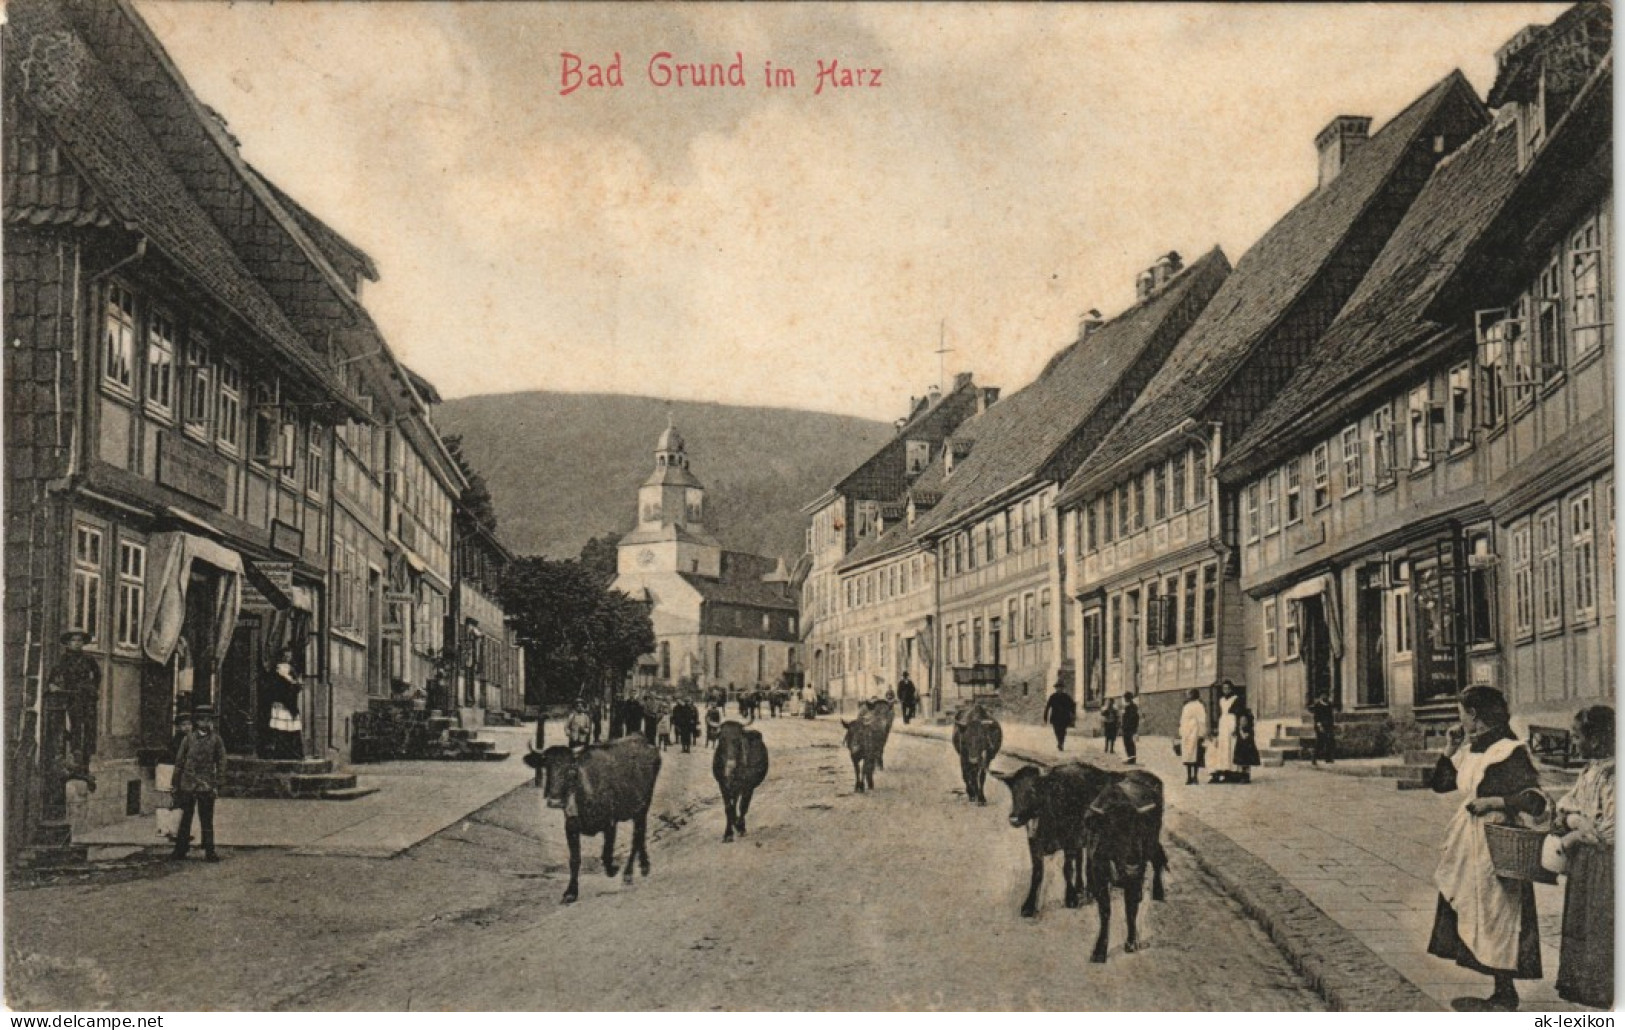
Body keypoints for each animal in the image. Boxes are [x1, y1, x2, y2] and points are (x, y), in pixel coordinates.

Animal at [529, 734, 663, 903]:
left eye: (571, 770)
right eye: (547, 767)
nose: (555, 802)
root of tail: (641, 739)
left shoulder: (610, 823)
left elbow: (606, 855)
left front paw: (614, 869)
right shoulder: (571, 826)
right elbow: (575, 860)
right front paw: (571, 892)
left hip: (643, 805)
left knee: (636, 837)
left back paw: (628, 873)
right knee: (641, 833)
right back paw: (644, 865)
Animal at [1079, 766, 1170, 961]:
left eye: (1138, 830)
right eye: (1112, 831)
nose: (1132, 867)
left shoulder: (1135, 878)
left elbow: (1131, 909)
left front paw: (1131, 942)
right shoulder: (1099, 875)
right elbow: (1105, 910)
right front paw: (1099, 951)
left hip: (1152, 845)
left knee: (1158, 859)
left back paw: (1159, 892)